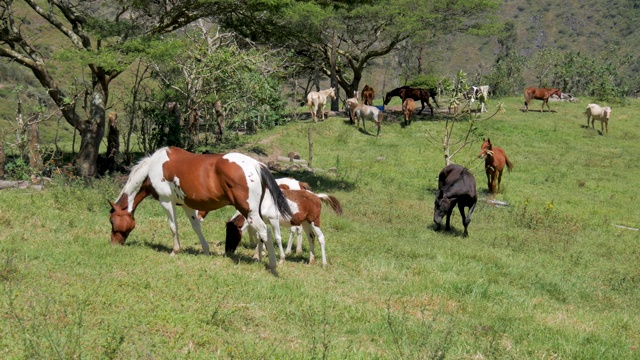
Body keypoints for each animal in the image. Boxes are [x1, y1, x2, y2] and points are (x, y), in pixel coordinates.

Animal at [108, 146, 292, 276]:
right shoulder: (187, 205)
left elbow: (173, 227)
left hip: (249, 211)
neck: (153, 167)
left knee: (265, 231)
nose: (114, 244)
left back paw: (273, 265)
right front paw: (205, 251)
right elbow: (196, 227)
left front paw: (175, 251)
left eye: (112, 221)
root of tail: (256, 164)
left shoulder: (166, 201)